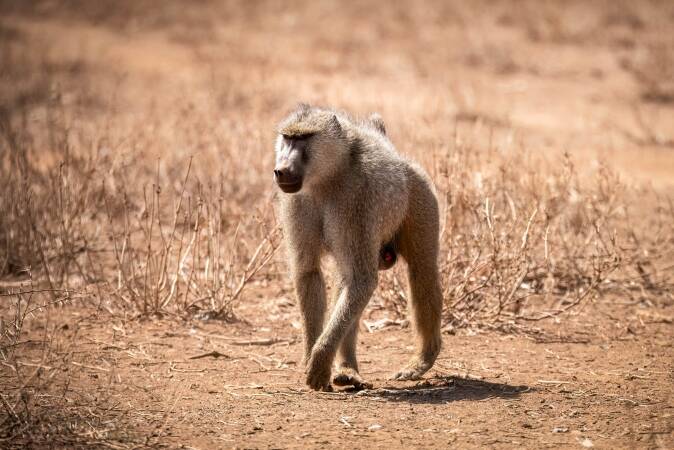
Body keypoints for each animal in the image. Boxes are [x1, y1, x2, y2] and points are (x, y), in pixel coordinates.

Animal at [274, 104, 442, 391]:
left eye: (304, 138)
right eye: (287, 138)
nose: (281, 169)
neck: (327, 177)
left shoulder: (358, 199)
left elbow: (362, 280)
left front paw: (320, 360)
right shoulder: (297, 201)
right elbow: (309, 272)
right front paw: (311, 354)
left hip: (420, 193)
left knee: (422, 271)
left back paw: (422, 360)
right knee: (347, 279)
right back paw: (347, 370)